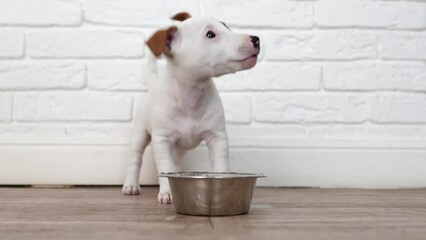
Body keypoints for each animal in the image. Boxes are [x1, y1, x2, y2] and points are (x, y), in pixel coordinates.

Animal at [120, 12, 260, 203]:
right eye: (210, 34)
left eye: (226, 26)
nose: (256, 39)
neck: (191, 96)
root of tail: (153, 83)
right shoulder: (162, 141)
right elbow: (164, 166)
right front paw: (168, 192)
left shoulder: (217, 137)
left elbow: (221, 163)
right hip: (140, 133)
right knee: (135, 158)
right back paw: (131, 185)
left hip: (179, 149)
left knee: (175, 161)